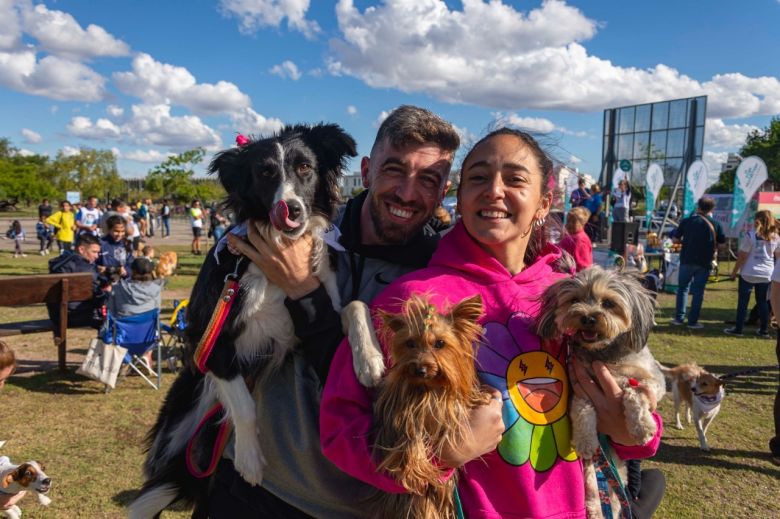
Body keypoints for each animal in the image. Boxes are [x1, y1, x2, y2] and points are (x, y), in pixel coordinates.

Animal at [536, 268, 664, 519]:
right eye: (575, 300)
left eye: (609, 303)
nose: (588, 317)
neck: (603, 354)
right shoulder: (579, 385)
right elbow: (583, 410)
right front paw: (585, 440)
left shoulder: (654, 380)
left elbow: (635, 393)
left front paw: (642, 427)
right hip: (592, 481)